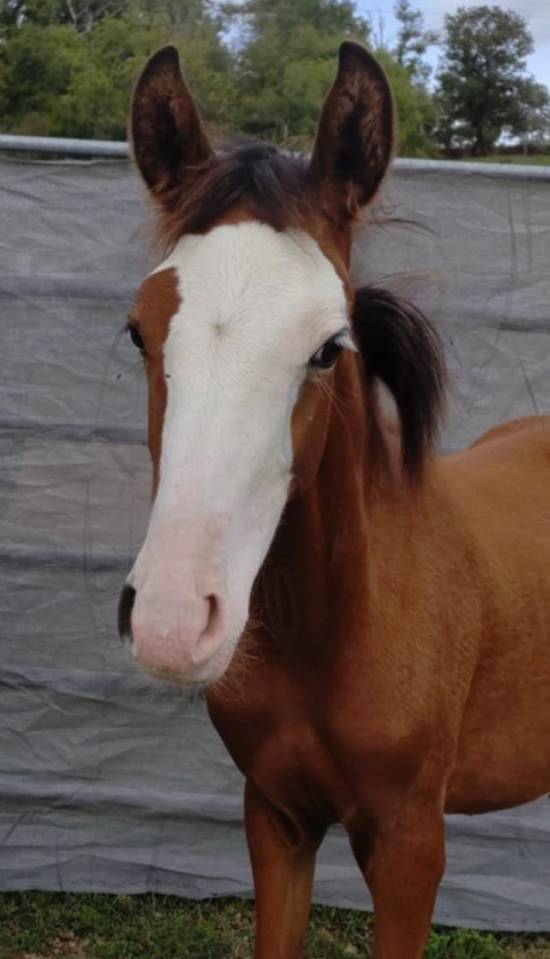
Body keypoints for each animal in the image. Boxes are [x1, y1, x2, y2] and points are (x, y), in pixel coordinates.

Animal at [117, 41, 550, 959]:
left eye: (328, 346)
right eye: (139, 330)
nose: (172, 620)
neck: (337, 628)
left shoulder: (411, 846)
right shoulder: (276, 817)